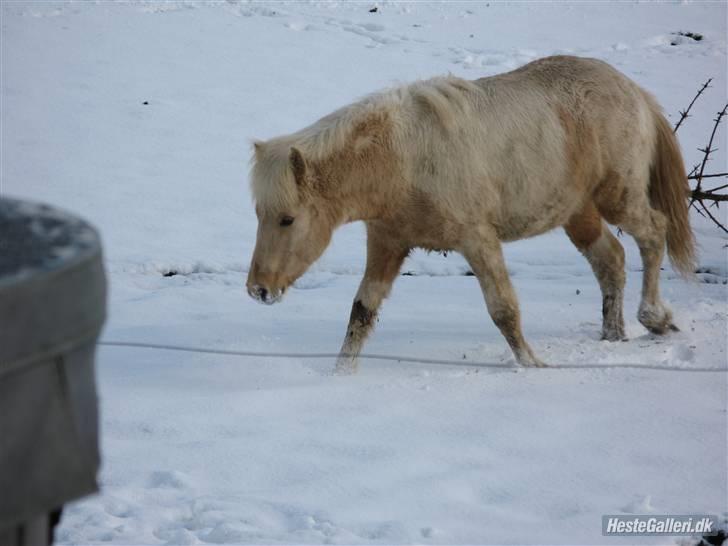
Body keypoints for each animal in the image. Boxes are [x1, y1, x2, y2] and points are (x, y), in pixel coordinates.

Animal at [245, 55, 692, 372]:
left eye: (287, 219)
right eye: (260, 215)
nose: (258, 289)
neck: (403, 161)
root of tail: (634, 91)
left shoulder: (478, 240)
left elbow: (504, 311)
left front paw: (532, 366)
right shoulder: (387, 244)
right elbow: (361, 312)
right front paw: (340, 377)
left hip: (618, 197)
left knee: (654, 234)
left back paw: (654, 318)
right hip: (578, 214)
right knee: (610, 260)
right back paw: (613, 334)